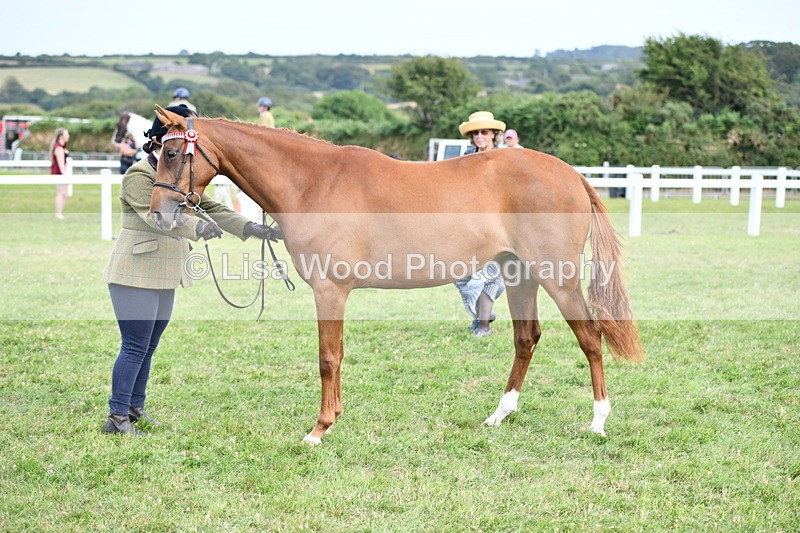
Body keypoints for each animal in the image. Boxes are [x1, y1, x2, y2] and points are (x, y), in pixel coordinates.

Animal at [147, 105, 644, 445]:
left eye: (171, 152)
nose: (158, 214)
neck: (313, 183)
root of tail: (571, 175)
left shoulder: (329, 290)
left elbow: (327, 358)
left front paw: (319, 429)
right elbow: (339, 355)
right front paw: (335, 417)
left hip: (557, 277)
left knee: (590, 337)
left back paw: (598, 421)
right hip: (518, 273)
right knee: (527, 338)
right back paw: (500, 414)